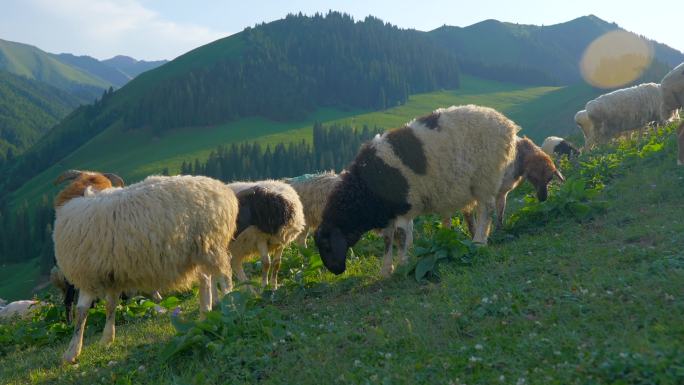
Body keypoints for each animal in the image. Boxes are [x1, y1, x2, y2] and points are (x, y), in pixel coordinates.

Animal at [52, 171, 238, 364]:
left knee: (224, 277)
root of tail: (225, 192)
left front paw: (71, 352)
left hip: (210, 245)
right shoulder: (112, 274)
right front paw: (107, 338)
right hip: (200, 250)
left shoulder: (88, 274)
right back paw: (205, 315)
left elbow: (81, 313)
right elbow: (110, 305)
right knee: (206, 279)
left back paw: (229, 307)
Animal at [316, 103, 520, 274]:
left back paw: (478, 242)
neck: (364, 189)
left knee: (487, 209)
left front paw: (403, 264)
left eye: (326, 246)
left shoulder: (403, 207)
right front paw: (386, 269)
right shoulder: (389, 213)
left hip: (485, 177)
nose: (336, 271)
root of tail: (507, 124)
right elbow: (388, 240)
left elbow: (401, 236)